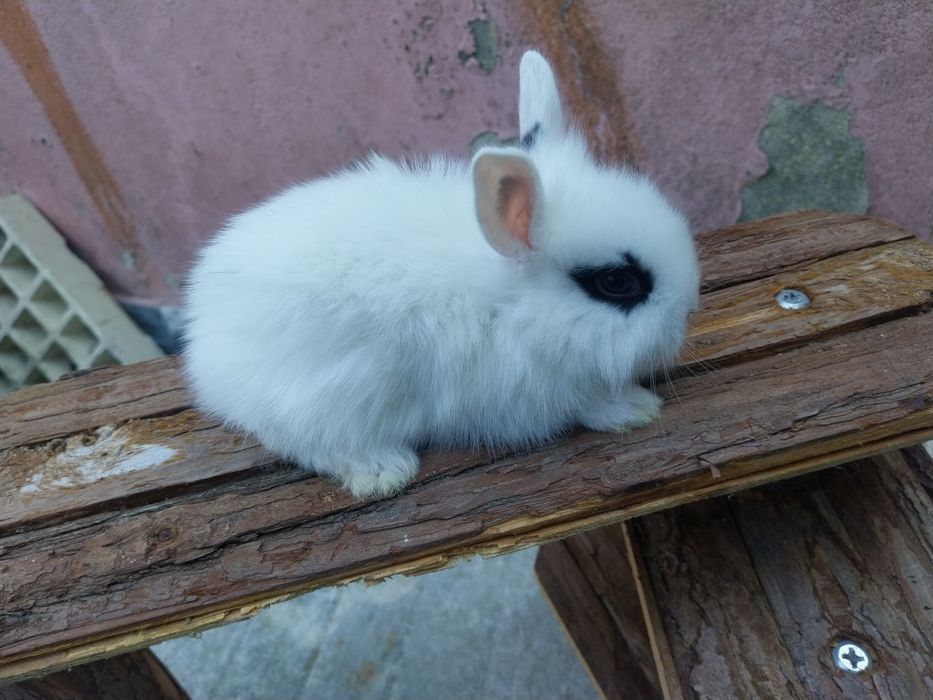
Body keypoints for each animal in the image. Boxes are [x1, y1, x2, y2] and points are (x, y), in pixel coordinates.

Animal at [183, 50, 701, 499]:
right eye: (617, 283)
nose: (688, 311)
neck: (507, 306)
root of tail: (201, 336)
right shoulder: (531, 393)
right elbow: (586, 404)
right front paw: (636, 408)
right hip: (325, 398)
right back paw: (384, 472)